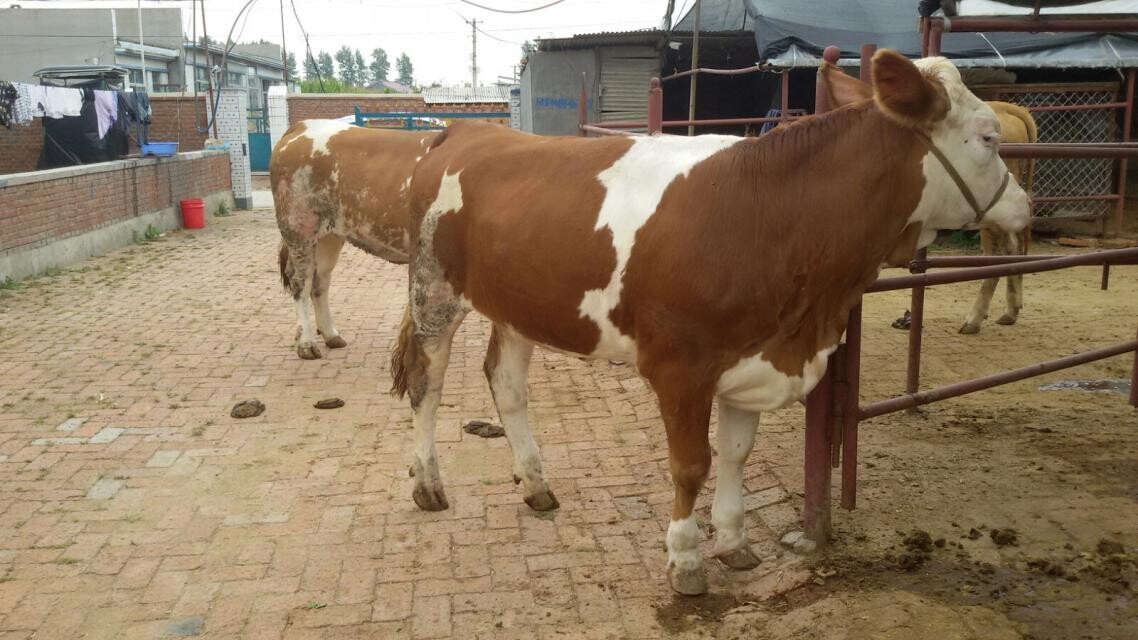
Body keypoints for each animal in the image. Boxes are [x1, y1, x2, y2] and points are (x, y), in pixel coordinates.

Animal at [270, 119, 434, 359]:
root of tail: (303, 125)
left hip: (329, 235)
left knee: (320, 280)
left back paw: (330, 335)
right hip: (299, 227)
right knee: (301, 281)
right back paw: (307, 344)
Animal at [391, 52, 1033, 596]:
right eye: (988, 137)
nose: (1026, 207)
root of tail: (469, 131)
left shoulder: (751, 356)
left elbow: (736, 453)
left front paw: (735, 541)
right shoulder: (681, 367)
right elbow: (691, 464)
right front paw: (686, 559)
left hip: (517, 304)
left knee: (506, 382)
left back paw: (536, 484)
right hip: (434, 290)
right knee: (427, 382)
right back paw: (427, 484)